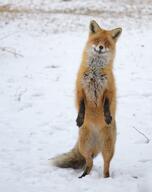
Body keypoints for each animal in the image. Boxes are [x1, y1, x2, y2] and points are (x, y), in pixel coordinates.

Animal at [51, 19, 121, 178]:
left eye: (106, 43)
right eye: (96, 41)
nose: (100, 47)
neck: (95, 71)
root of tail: (97, 143)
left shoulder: (109, 89)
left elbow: (107, 105)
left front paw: (107, 117)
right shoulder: (80, 89)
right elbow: (82, 105)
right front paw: (79, 119)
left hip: (108, 149)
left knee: (105, 166)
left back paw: (106, 178)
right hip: (84, 148)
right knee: (89, 163)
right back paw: (83, 176)